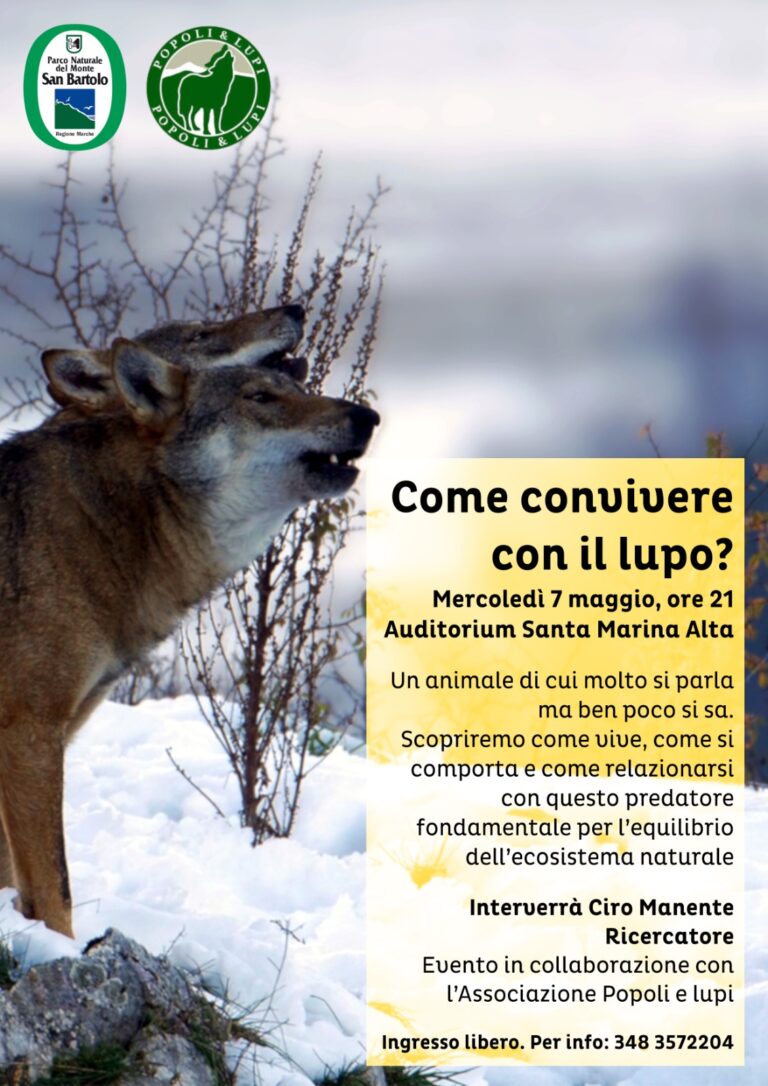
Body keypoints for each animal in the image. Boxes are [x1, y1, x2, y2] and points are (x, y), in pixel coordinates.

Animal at [0, 303, 379, 937]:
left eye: (299, 392)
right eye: (260, 398)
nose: (369, 417)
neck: (104, 518)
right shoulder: (29, 730)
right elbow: (55, 891)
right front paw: (58, 948)